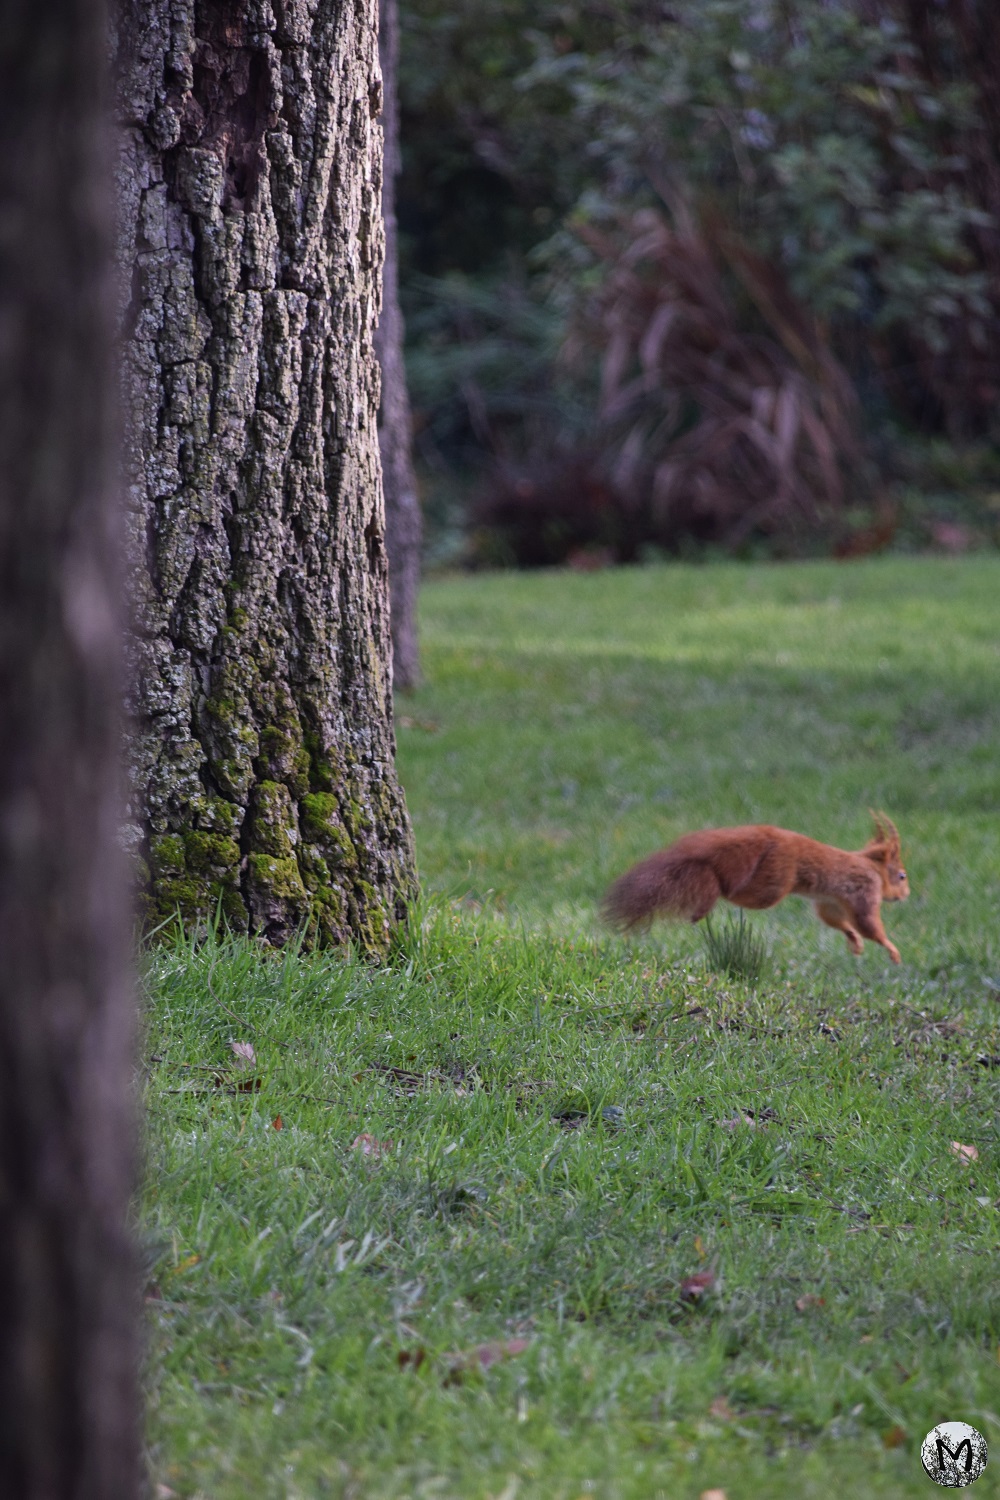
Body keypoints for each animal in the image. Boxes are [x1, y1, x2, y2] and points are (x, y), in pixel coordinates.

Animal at [603, 812, 909, 962]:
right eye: (902, 876)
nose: (905, 896)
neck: (872, 866)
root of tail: (771, 835)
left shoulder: (829, 902)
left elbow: (837, 920)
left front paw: (854, 941)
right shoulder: (865, 890)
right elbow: (868, 923)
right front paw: (892, 950)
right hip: (774, 883)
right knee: (731, 889)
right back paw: (708, 899)